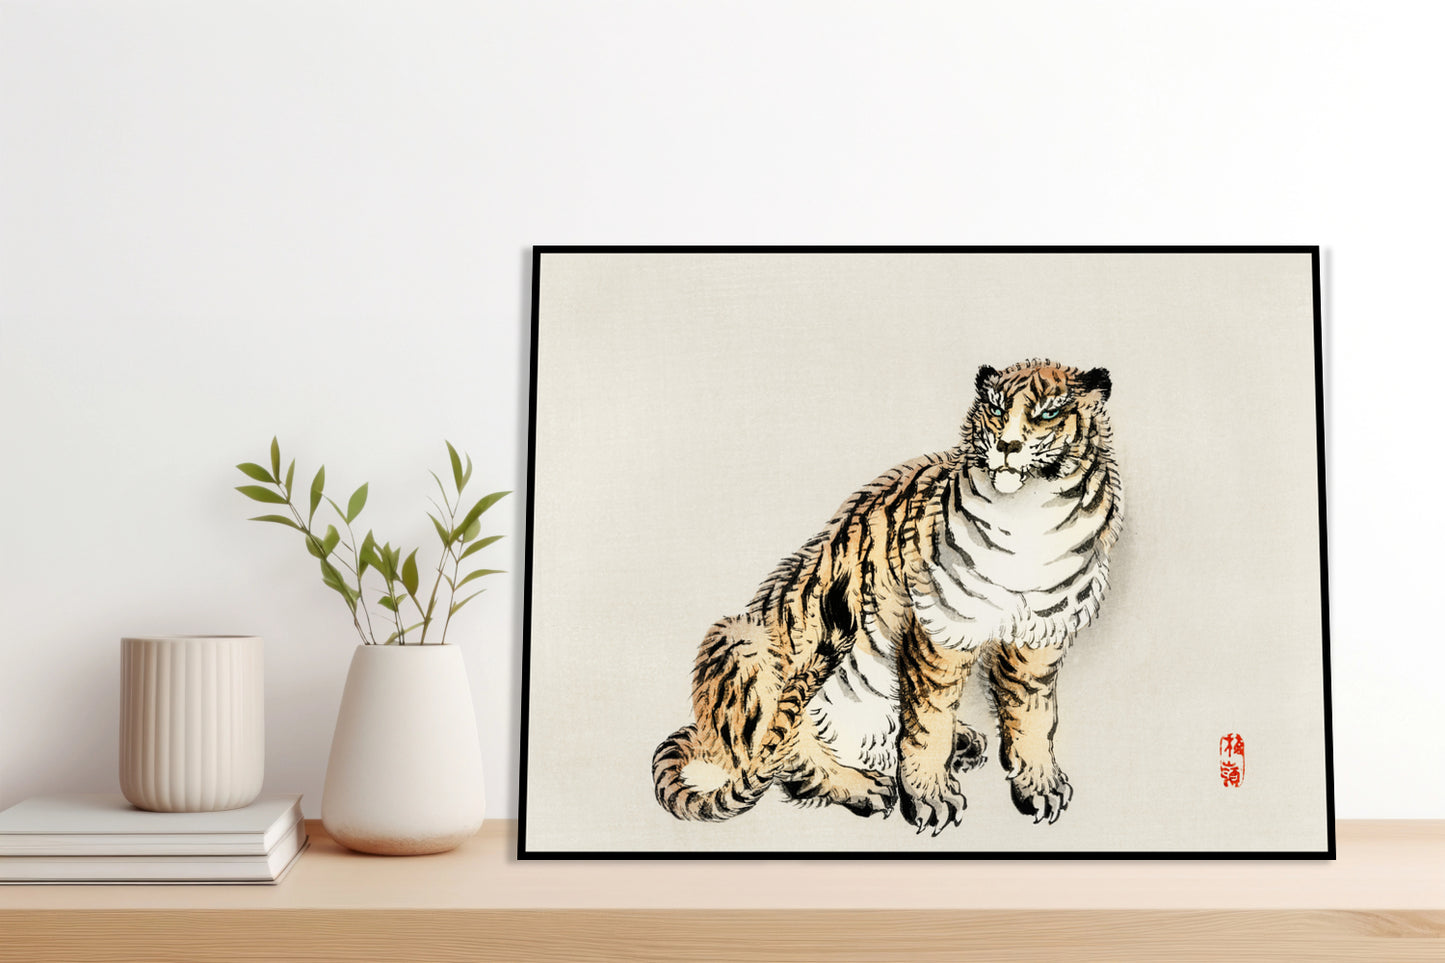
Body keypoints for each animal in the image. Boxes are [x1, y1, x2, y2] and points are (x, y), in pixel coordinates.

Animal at [651, 358, 1122, 835]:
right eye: (995, 409)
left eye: (1048, 413)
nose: (1008, 446)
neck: (1031, 516)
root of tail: (704, 734)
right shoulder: (938, 632)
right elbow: (929, 723)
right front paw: (931, 799)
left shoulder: (1039, 637)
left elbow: (1034, 716)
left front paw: (1040, 786)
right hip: (739, 639)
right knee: (785, 758)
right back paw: (864, 786)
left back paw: (964, 741)